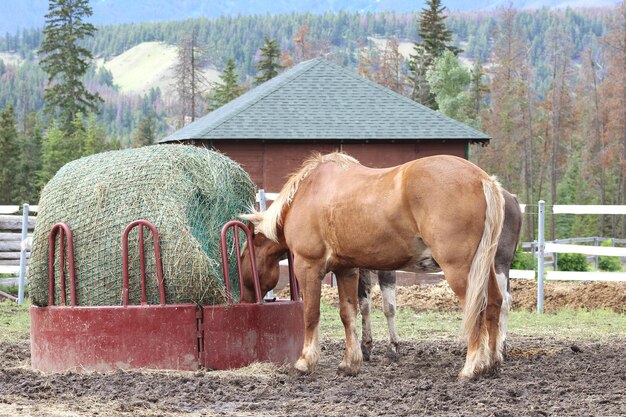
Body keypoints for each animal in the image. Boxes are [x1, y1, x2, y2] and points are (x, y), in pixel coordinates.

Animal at [238, 152, 502, 376]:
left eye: (241, 257)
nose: (246, 299)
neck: (308, 193)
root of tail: (481, 179)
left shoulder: (308, 267)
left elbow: (311, 313)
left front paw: (306, 361)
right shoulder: (346, 270)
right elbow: (348, 314)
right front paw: (350, 362)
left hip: (460, 269)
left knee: (476, 309)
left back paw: (472, 367)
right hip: (483, 267)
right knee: (494, 303)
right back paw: (491, 362)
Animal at [356, 188, 520, 360]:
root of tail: (510, 198)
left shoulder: (387, 270)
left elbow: (389, 307)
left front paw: (392, 348)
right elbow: (364, 306)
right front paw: (366, 347)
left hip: (497, 263)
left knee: (503, 301)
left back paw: (498, 346)